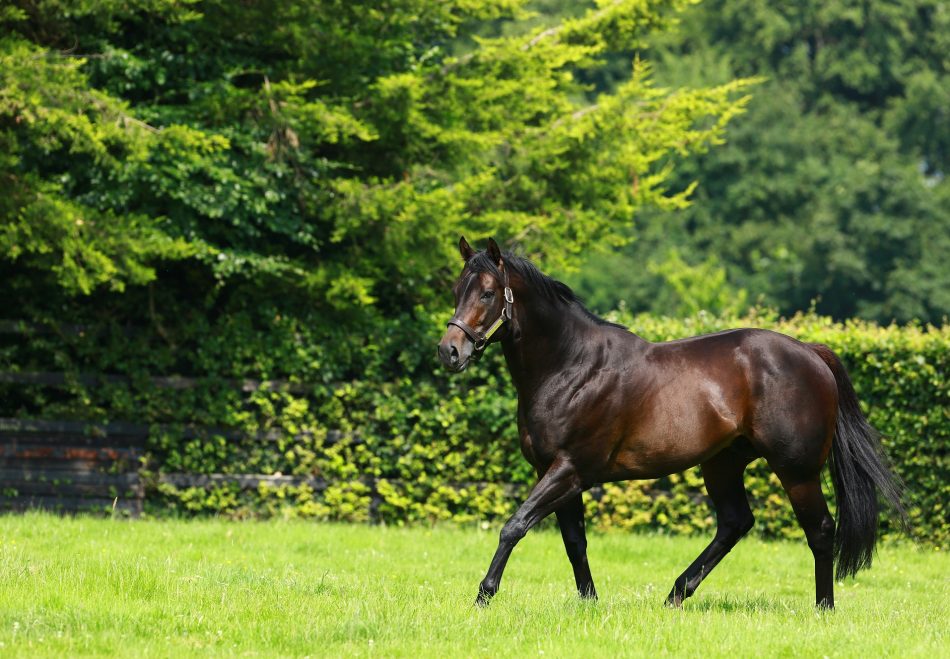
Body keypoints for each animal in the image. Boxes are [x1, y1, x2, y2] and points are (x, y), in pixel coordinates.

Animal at [437, 237, 905, 609]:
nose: (450, 351)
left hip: (797, 470)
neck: (571, 366)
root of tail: (810, 352)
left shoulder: (569, 470)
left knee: (820, 530)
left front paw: (483, 595)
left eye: (488, 293)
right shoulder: (554, 472)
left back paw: (823, 608)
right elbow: (574, 542)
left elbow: (514, 526)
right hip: (722, 464)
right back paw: (677, 594)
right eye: (457, 289)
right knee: (735, 522)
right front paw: (589, 602)